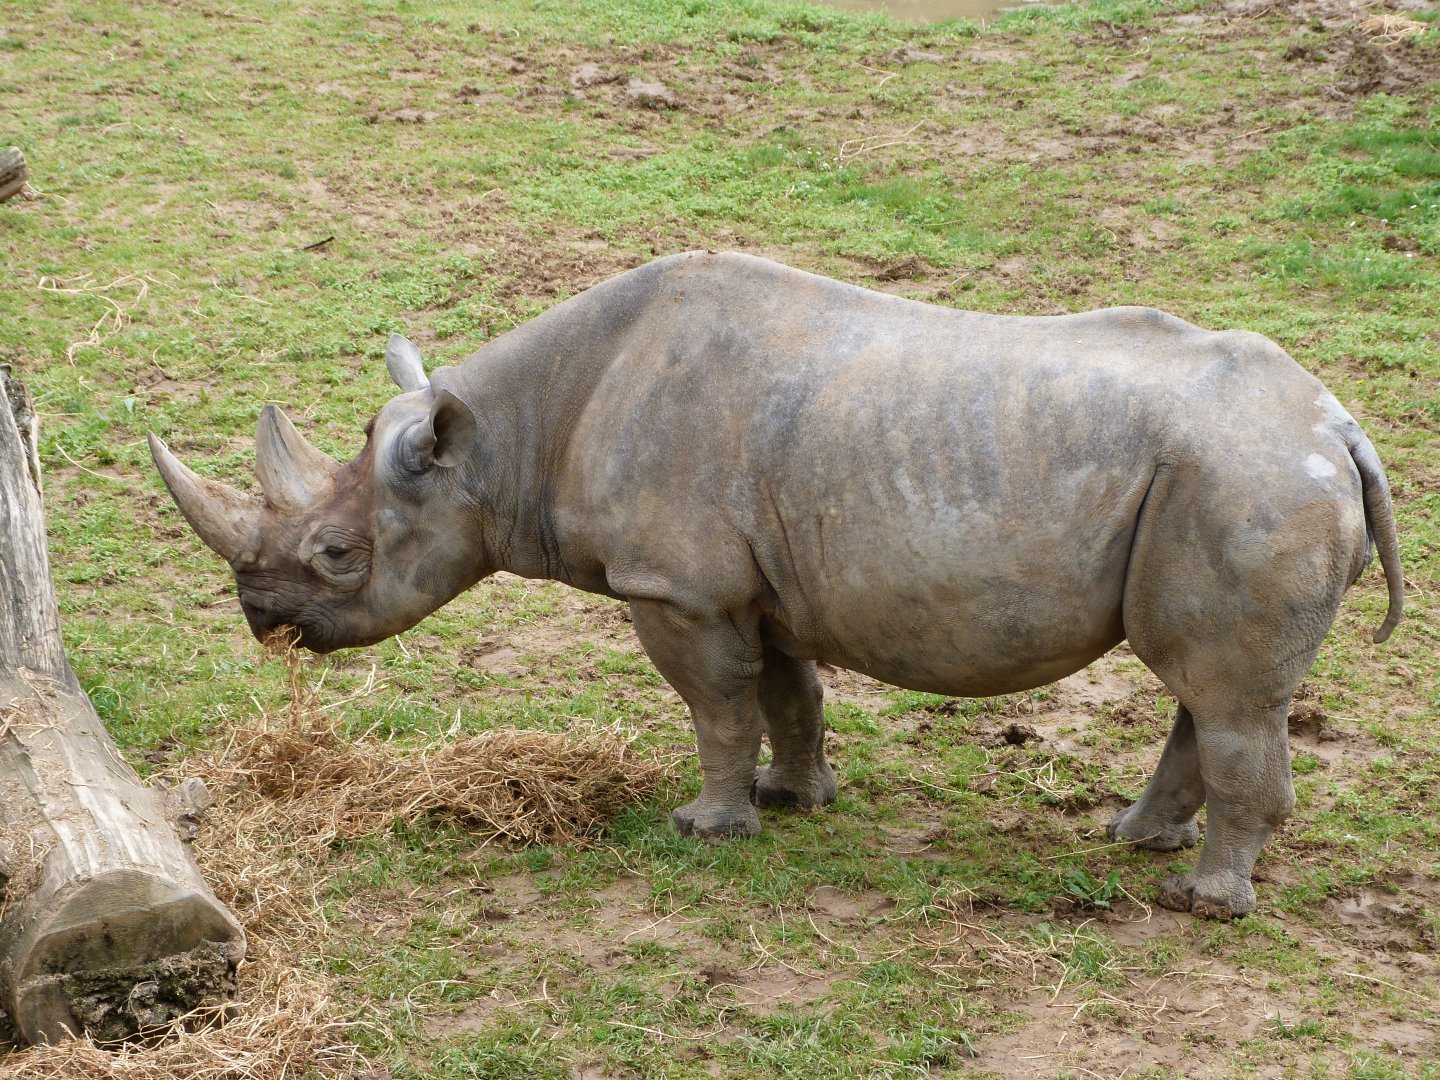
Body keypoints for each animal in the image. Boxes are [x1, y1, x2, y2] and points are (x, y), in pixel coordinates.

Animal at [149, 251, 1403, 919]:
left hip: (1246, 483)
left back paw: (1203, 901)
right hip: (1235, 481)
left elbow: (716, 705)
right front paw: (800, 800)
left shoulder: (677, 587)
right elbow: (789, 694)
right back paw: (1135, 841)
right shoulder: (760, 580)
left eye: (336, 555)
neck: (505, 441)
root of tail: (1338, 426)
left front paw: (707, 826)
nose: (263, 622)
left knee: (1228, 690)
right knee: (1206, 683)